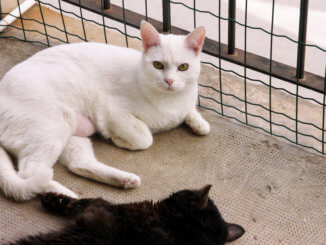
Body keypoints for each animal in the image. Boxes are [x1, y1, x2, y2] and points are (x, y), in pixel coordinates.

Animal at [0, 22, 209, 200]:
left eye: (183, 67)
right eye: (158, 65)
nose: (169, 81)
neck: (170, 101)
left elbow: (195, 116)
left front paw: (199, 124)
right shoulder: (110, 109)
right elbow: (145, 138)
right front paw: (119, 139)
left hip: (72, 134)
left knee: (78, 164)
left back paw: (123, 180)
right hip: (55, 124)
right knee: (29, 173)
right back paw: (61, 194)